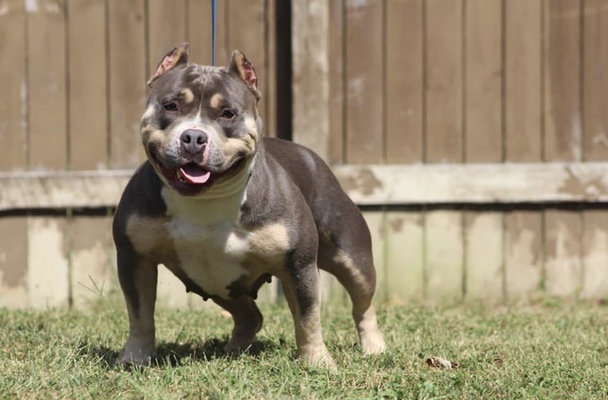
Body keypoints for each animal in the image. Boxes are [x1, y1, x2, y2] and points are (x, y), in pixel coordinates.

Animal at [111, 42, 384, 368]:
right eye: (170, 106)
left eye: (228, 114)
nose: (193, 137)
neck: (207, 197)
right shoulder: (134, 258)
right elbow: (140, 315)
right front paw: (135, 359)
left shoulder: (299, 265)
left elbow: (307, 318)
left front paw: (317, 361)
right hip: (218, 282)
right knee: (250, 315)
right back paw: (232, 350)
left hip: (353, 259)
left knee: (363, 304)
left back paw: (374, 347)